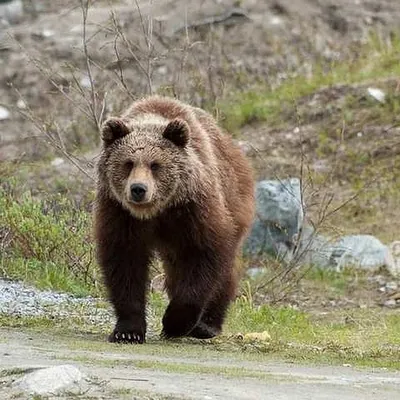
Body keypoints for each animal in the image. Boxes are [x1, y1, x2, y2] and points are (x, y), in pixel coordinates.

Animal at [94, 96, 253, 344]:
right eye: (128, 163)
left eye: (155, 165)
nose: (138, 189)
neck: (157, 211)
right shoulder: (119, 213)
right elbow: (124, 262)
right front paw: (128, 331)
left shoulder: (193, 209)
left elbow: (204, 254)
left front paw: (174, 323)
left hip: (235, 202)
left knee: (224, 272)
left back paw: (207, 325)